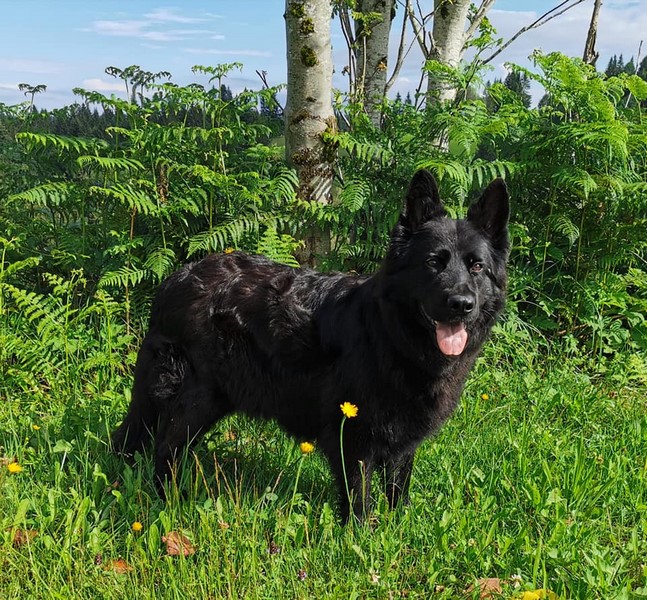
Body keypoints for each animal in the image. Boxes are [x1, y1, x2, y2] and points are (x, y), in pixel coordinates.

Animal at [112, 169, 510, 521]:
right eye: (433, 263)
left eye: (476, 266)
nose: (461, 304)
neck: (389, 334)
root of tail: (174, 279)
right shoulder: (352, 440)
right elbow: (359, 503)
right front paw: (359, 541)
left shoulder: (402, 441)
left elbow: (398, 491)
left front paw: (399, 528)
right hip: (196, 399)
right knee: (163, 449)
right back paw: (168, 501)